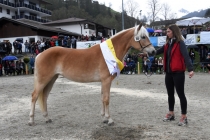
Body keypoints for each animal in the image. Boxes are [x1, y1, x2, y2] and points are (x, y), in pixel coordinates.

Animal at [28, 22, 156, 126]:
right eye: (143, 37)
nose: (153, 51)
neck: (110, 52)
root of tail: (40, 54)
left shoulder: (103, 82)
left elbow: (102, 98)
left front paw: (104, 118)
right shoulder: (106, 81)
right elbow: (106, 99)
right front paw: (109, 119)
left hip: (51, 79)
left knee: (44, 97)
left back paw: (47, 118)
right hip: (43, 80)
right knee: (35, 96)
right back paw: (31, 120)